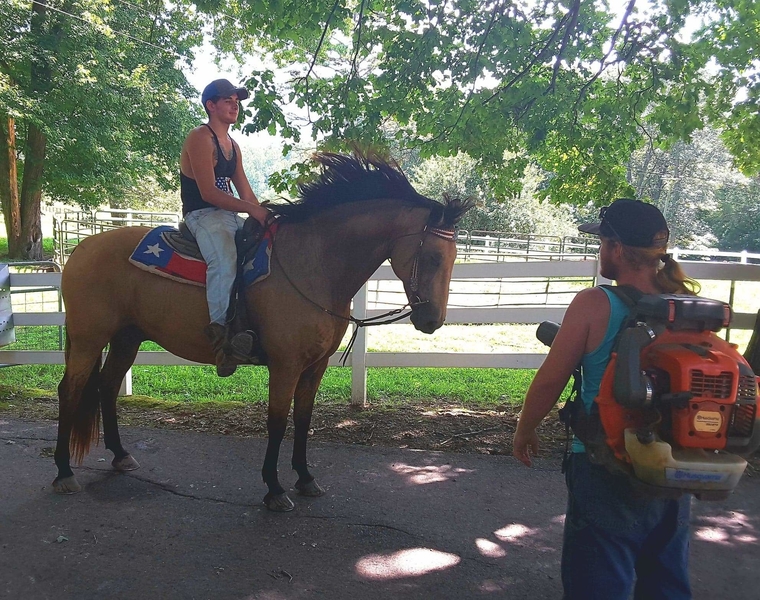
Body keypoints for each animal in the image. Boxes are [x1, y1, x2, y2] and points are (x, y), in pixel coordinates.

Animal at [52, 150, 470, 510]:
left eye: (453, 258)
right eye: (434, 257)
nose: (432, 320)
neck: (313, 264)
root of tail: (81, 248)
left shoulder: (314, 366)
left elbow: (303, 419)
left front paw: (305, 478)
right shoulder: (285, 365)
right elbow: (277, 421)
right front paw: (274, 488)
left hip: (127, 338)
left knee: (107, 387)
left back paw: (120, 456)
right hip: (89, 339)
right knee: (70, 391)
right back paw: (63, 471)